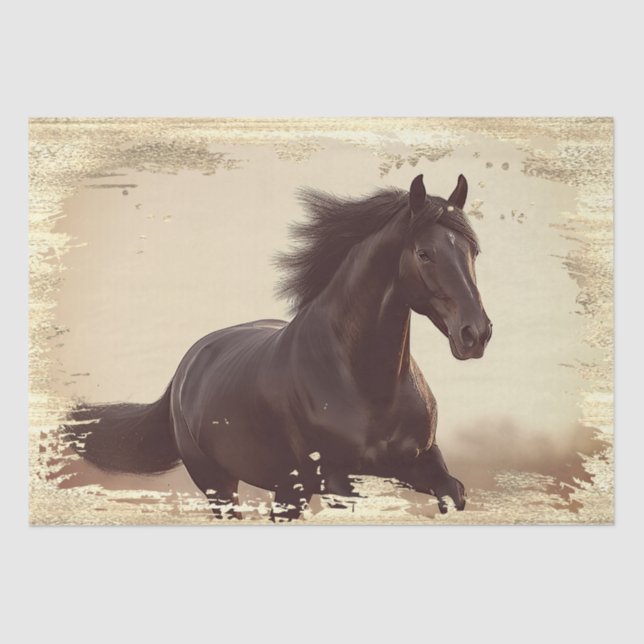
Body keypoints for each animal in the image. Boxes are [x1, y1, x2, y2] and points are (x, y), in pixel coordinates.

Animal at [68, 174, 492, 520]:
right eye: (424, 253)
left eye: (472, 251)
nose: (476, 334)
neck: (368, 386)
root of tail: (188, 366)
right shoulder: (337, 480)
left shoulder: (420, 463)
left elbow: (453, 494)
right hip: (219, 485)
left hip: (289, 489)